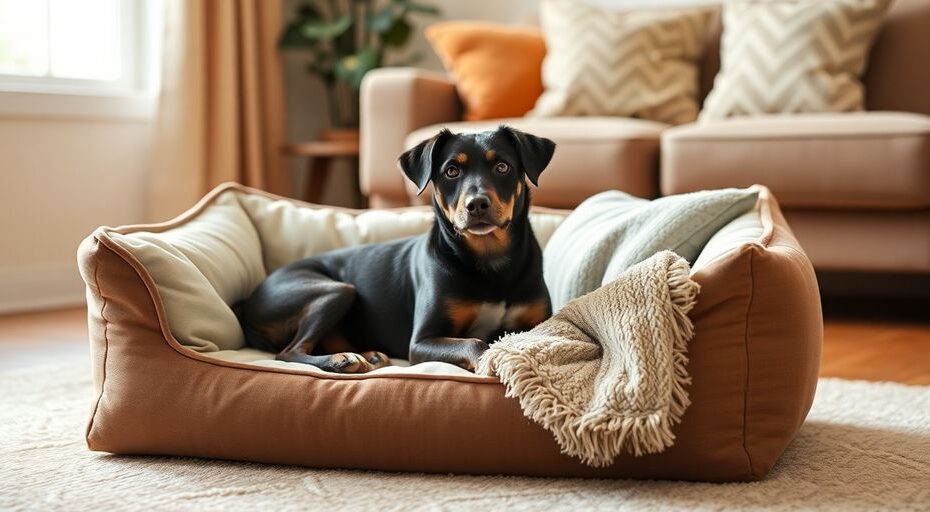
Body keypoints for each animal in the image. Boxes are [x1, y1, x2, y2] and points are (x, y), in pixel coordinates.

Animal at [236, 124, 556, 372]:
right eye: (451, 171)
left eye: (502, 166)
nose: (476, 204)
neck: (490, 261)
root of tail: (248, 304)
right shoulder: (422, 342)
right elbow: (476, 342)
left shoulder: (538, 322)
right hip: (335, 290)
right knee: (288, 352)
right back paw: (342, 360)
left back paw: (368, 355)